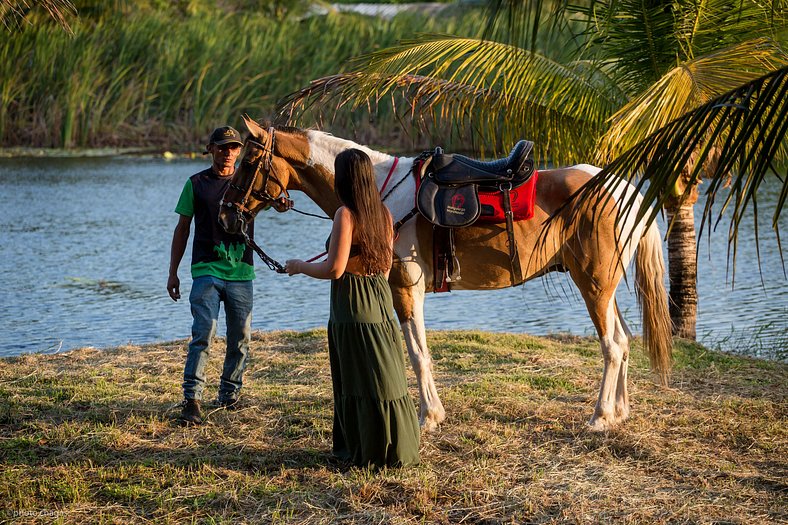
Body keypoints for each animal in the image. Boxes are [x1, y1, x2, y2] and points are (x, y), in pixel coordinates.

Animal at [219, 116, 676, 432]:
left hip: (594, 284)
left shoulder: (406, 286)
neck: (378, 194)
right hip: (603, 286)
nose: (226, 214)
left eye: (249, 161)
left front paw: (428, 417)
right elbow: (418, 351)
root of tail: (626, 189)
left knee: (612, 346)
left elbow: (418, 353)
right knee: (623, 341)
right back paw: (619, 412)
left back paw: (599, 417)